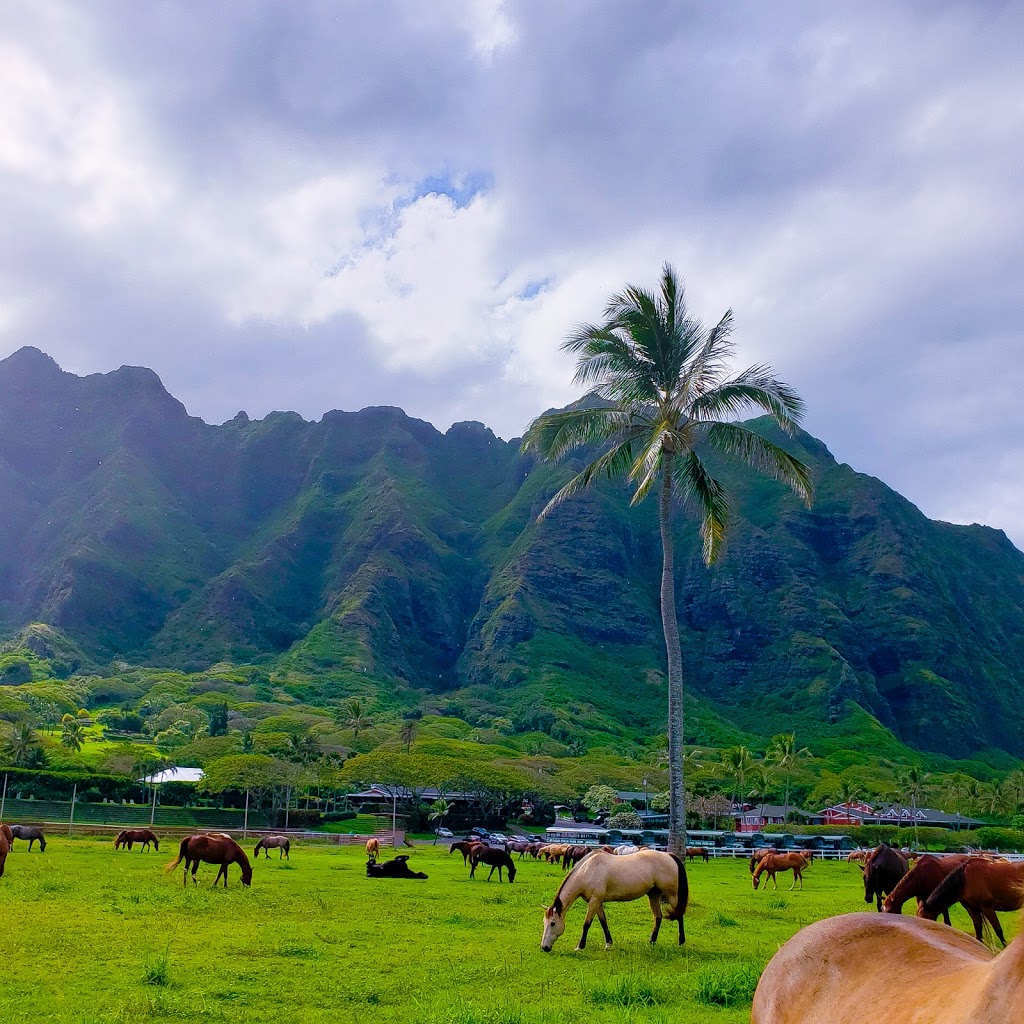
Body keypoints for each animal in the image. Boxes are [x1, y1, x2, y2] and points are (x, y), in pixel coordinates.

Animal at [536, 847, 688, 950]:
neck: (587, 870)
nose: (544, 947)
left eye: (553, 923)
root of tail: (668, 855)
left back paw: (681, 941)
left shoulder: (594, 901)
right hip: (654, 896)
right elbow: (603, 922)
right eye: (544, 922)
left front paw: (580, 946)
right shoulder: (597, 902)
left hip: (672, 895)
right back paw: (652, 941)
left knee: (679, 915)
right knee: (658, 917)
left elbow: (586, 924)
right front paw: (608, 943)